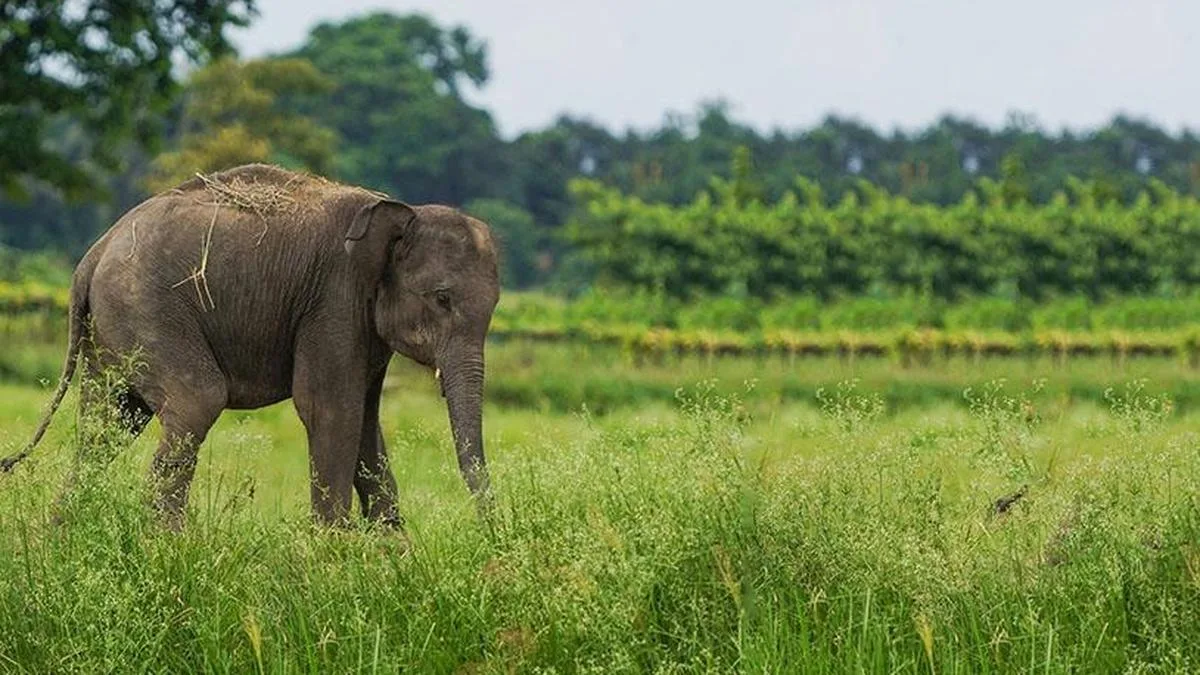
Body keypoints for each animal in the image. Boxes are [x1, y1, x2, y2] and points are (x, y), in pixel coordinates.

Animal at [1, 164, 500, 531]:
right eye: (442, 299)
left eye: (495, 305)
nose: (489, 531)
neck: (395, 209)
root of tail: (91, 256)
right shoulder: (333, 301)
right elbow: (330, 409)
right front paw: (335, 557)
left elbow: (364, 419)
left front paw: (391, 557)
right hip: (143, 308)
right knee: (193, 402)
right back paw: (170, 548)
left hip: (108, 331)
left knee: (107, 423)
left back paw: (61, 536)